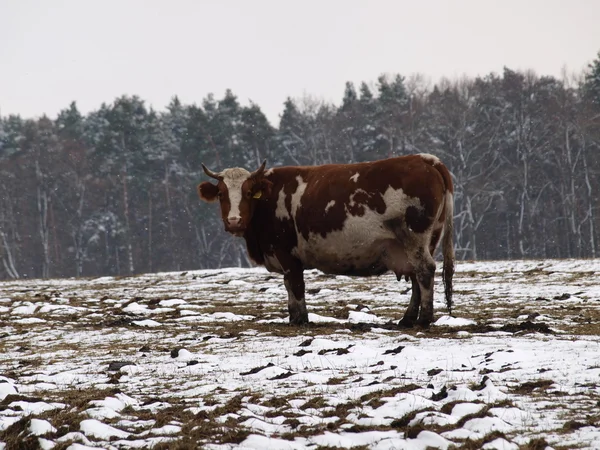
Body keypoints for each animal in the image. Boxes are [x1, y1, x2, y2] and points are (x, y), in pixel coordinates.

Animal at [197, 155, 454, 326]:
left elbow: (296, 286)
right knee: (416, 276)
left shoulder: (286, 253)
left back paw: (424, 319)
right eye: (221, 194)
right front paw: (294, 317)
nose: (234, 221)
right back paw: (408, 318)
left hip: (414, 237)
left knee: (424, 271)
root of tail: (425, 159)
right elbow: (289, 286)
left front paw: (300, 319)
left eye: (249, 193)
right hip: (425, 240)